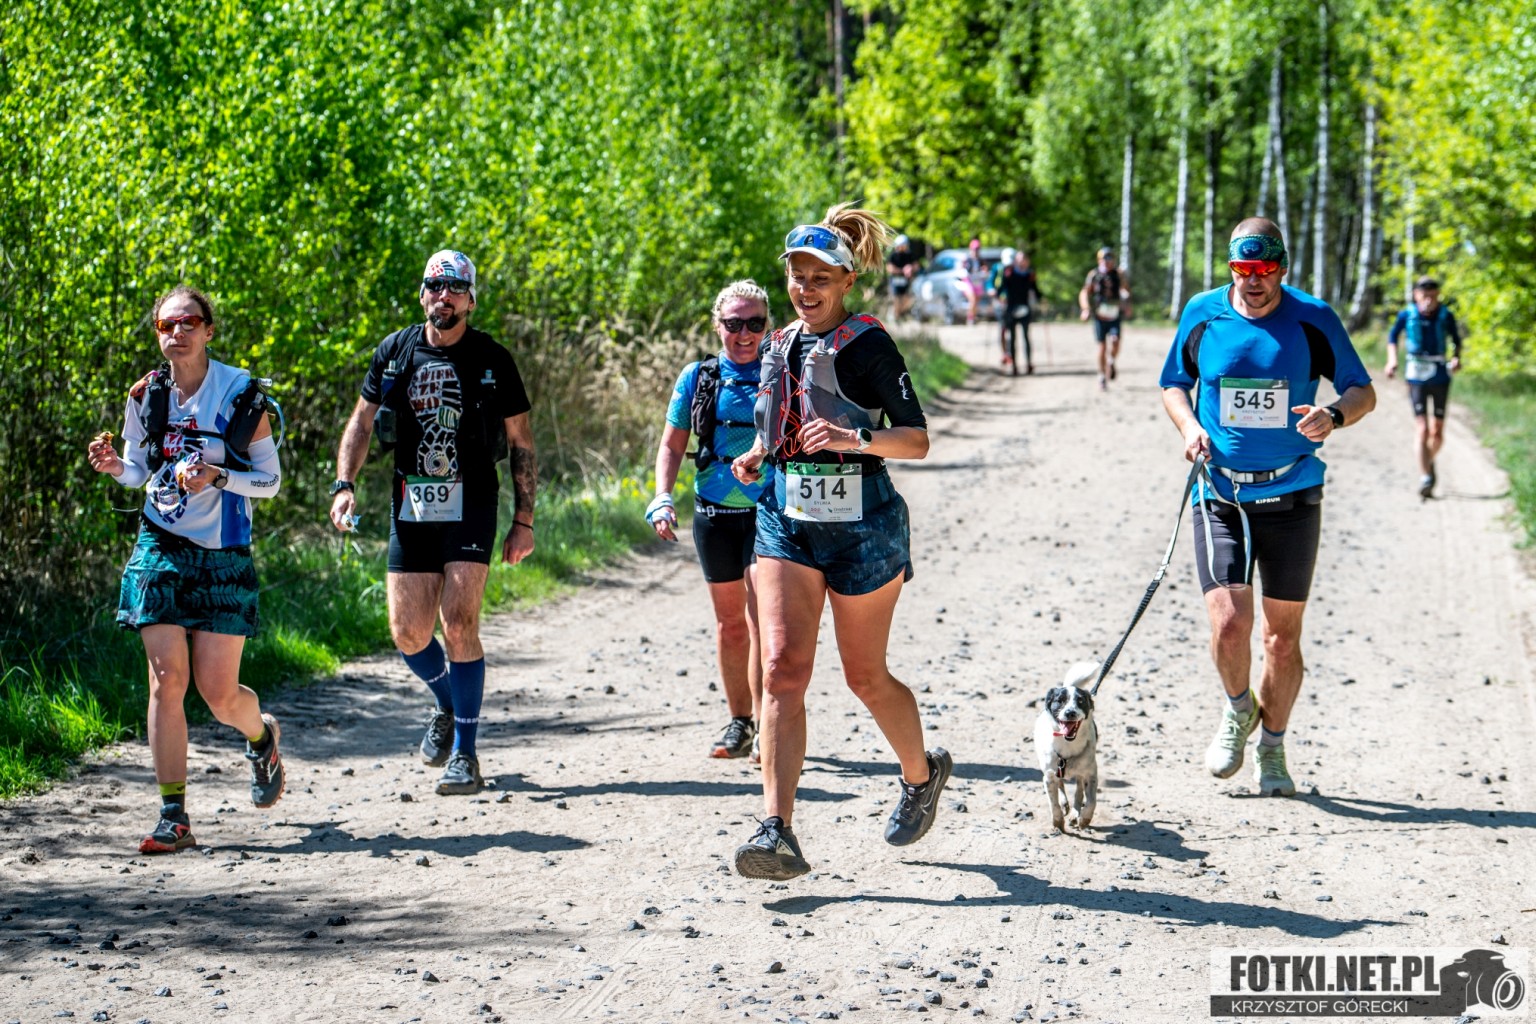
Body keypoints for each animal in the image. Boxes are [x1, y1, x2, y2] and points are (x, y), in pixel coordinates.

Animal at [1032, 661, 1100, 832]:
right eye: (1060, 700)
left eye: (1081, 701)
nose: (1070, 713)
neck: (1068, 744)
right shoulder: (1049, 776)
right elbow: (1053, 803)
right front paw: (1057, 822)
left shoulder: (1091, 774)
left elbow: (1091, 801)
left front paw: (1084, 819)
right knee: (1061, 785)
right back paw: (1065, 806)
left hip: (1081, 772)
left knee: (1079, 790)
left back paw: (1075, 813)